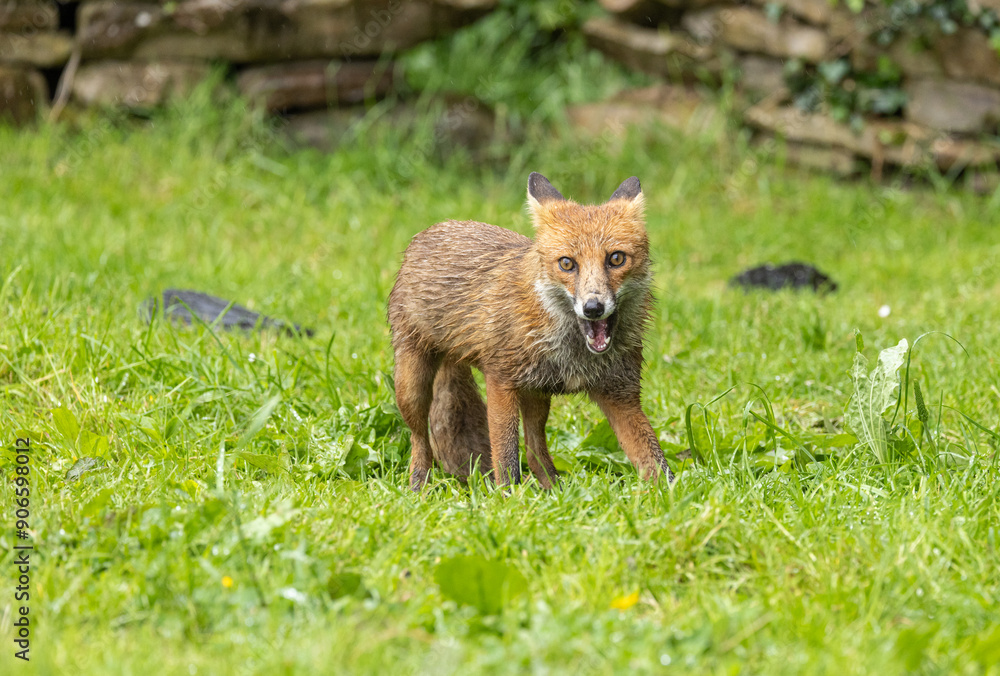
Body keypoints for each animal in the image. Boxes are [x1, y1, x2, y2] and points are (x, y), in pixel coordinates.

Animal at [388, 172, 673, 491]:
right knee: (420, 440)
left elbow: (656, 462)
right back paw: (418, 485)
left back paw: (554, 489)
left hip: (537, 394)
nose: (593, 307)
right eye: (567, 263)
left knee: (535, 451)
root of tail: (436, 228)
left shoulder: (621, 395)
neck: (575, 354)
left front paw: (672, 495)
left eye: (616, 258)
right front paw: (507, 498)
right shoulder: (500, 380)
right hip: (412, 387)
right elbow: (505, 457)